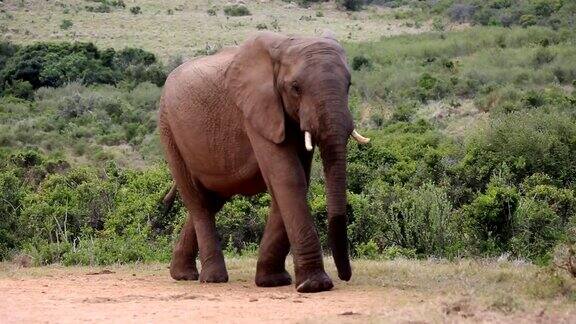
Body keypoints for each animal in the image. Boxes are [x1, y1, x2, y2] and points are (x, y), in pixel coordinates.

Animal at [159, 31, 368, 294]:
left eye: (349, 85)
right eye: (295, 88)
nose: (345, 276)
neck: (285, 45)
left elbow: (293, 178)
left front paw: (273, 281)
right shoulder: (255, 112)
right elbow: (288, 176)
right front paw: (315, 285)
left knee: (212, 200)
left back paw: (183, 275)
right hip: (169, 129)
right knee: (197, 200)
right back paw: (212, 278)